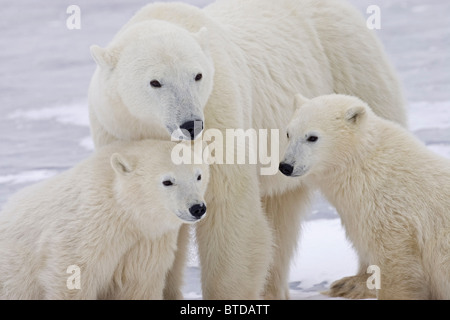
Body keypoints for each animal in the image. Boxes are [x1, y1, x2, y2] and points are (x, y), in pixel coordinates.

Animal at [89, 0, 406, 300]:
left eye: (197, 75)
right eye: (155, 81)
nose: (191, 124)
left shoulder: (220, 115)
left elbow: (229, 211)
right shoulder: (118, 132)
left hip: (350, 76)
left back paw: (358, 282)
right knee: (281, 209)